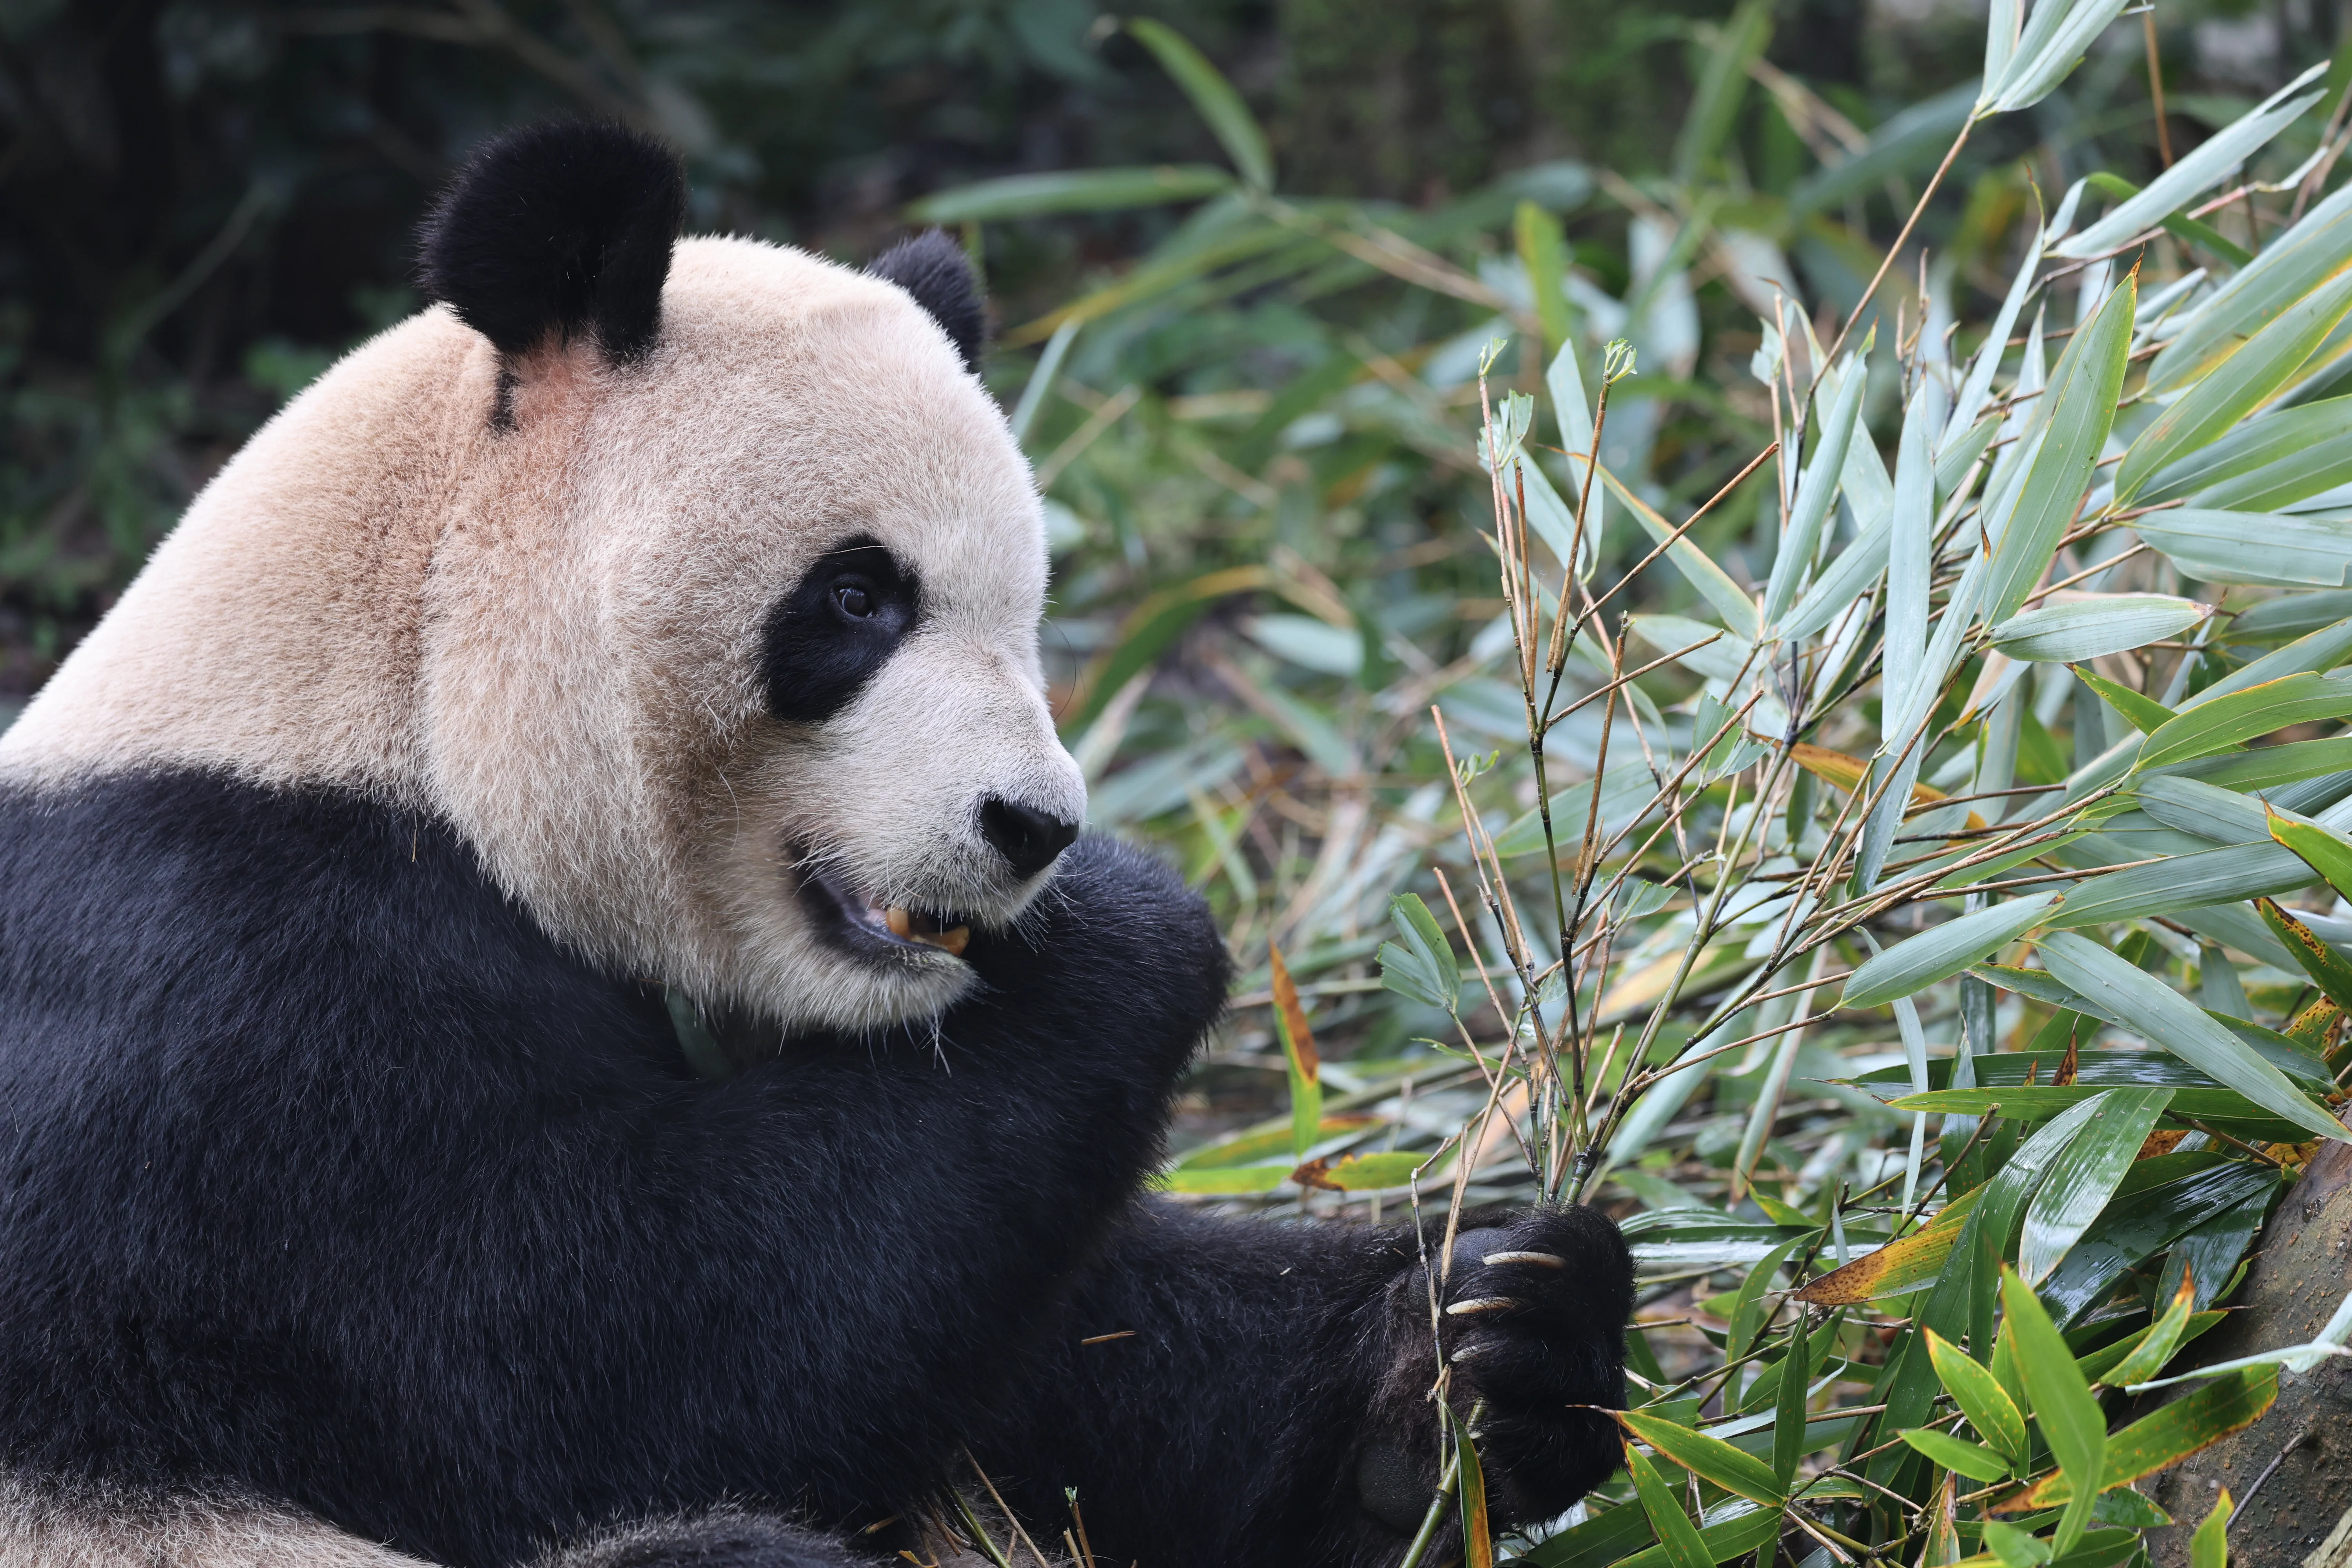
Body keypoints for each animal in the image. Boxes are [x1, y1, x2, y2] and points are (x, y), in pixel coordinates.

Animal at [0, 122, 1633, 1568]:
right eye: (857, 599)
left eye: (1032, 614)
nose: (1032, 828)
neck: (383, 695)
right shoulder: (220, 1014)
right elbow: (565, 1366)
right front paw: (1123, 929)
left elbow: (1061, 1351)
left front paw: (1483, 1355)